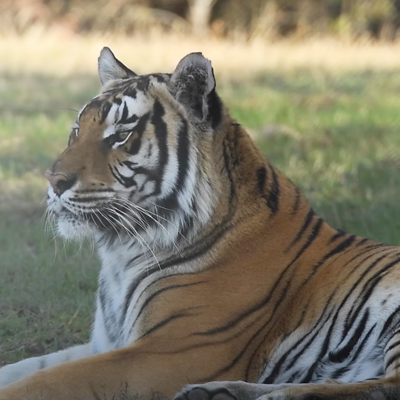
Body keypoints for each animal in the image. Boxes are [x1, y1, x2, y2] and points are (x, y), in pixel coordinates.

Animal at [0, 47, 400, 400]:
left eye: (121, 135)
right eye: (76, 131)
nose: (53, 181)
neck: (122, 252)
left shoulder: (172, 352)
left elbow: (45, 381)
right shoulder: (105, 342)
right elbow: (26, 367)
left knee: (385, 388)